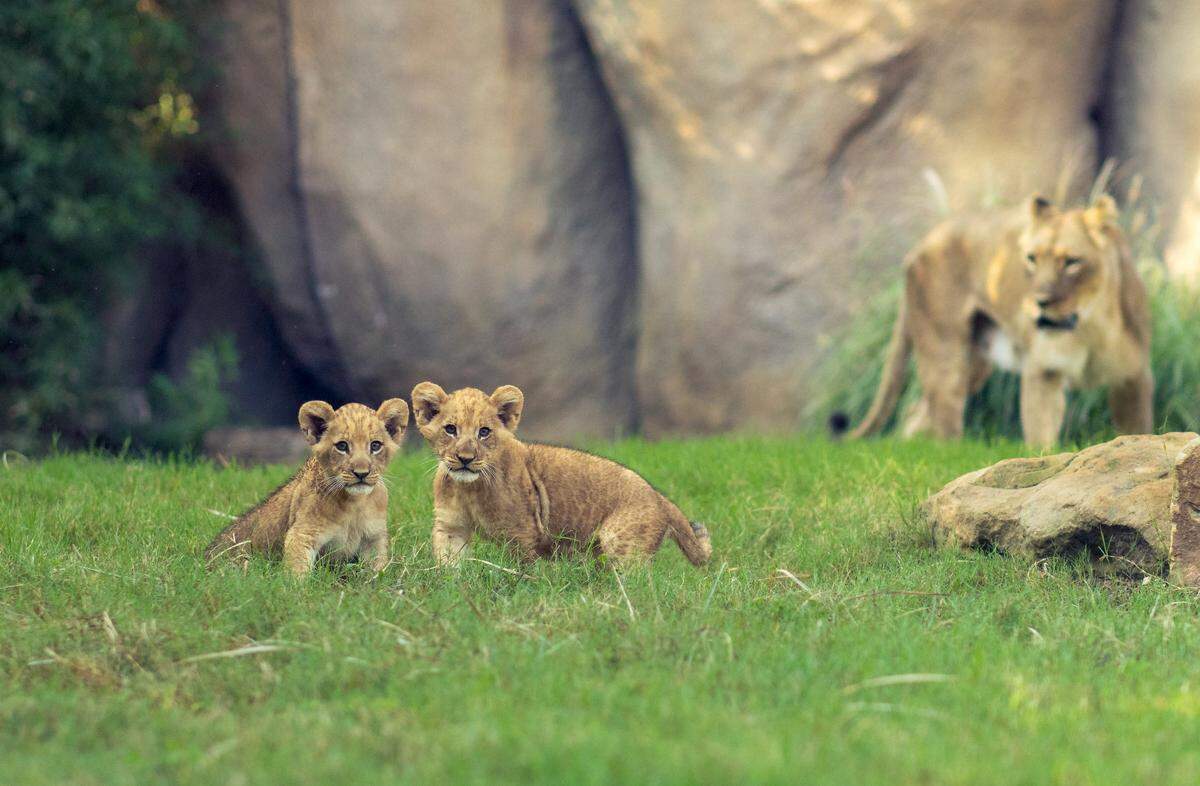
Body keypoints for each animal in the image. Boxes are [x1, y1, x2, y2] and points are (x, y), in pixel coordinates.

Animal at [204, 399, 409, 576]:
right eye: (342, 446)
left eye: (375, 445)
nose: (361, 473)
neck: (354, 503)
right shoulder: (301, 534)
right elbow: (297, 572)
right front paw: (297, 592)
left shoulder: (374, 538)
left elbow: (377, 570)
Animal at [410, 382, 712, 566]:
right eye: (450, 429)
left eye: (484, 432)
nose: (465, 459)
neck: (469, 489)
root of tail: (659, 497)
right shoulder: (451, 527)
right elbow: (449, 562)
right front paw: (452, 589)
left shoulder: (521, 535)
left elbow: (522, 573)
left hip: (622, 543)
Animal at [839, 194, 1153, 448]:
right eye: (1031, 258)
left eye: (1071, 261)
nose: (1039, 302)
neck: (1091, 325)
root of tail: (922, 242)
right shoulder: (1043, 371)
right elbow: (1041, 434)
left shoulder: (1133, 375)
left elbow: (1137, 429)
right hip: (944, 352)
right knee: (943, 415)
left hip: (975, 365)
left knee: (915, 412)